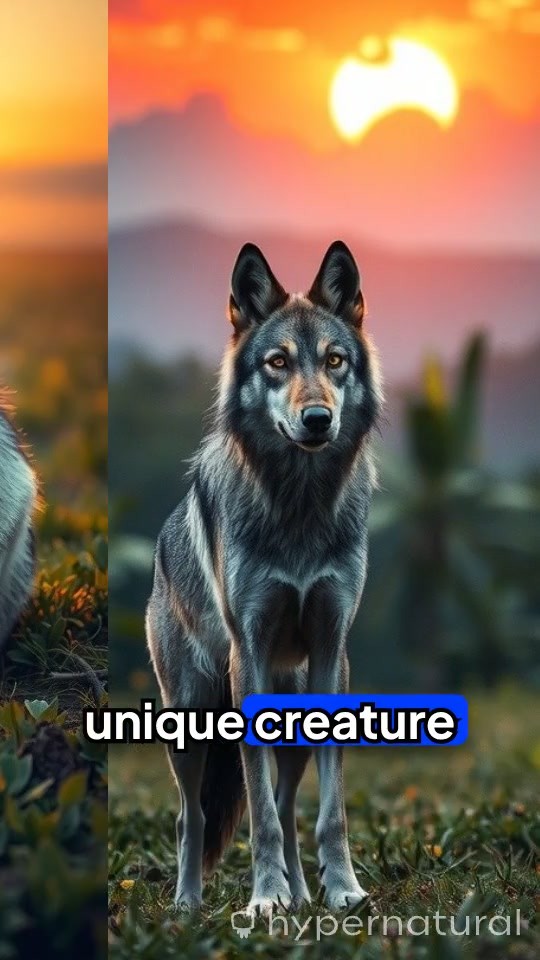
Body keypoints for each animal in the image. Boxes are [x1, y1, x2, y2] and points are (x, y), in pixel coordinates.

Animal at [147, 241, 383, 915]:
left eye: (334, 360)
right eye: (278, 363)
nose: (317, 418)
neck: (299, 510)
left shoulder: (333, 651)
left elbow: (326, 812)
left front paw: (343, 889)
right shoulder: (246, 655)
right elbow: (256, 814)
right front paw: (265, 899)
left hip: (296, 721)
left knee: (285, 801)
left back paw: (305, 894)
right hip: (190, 720)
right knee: (193, 817)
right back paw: (188, 905)